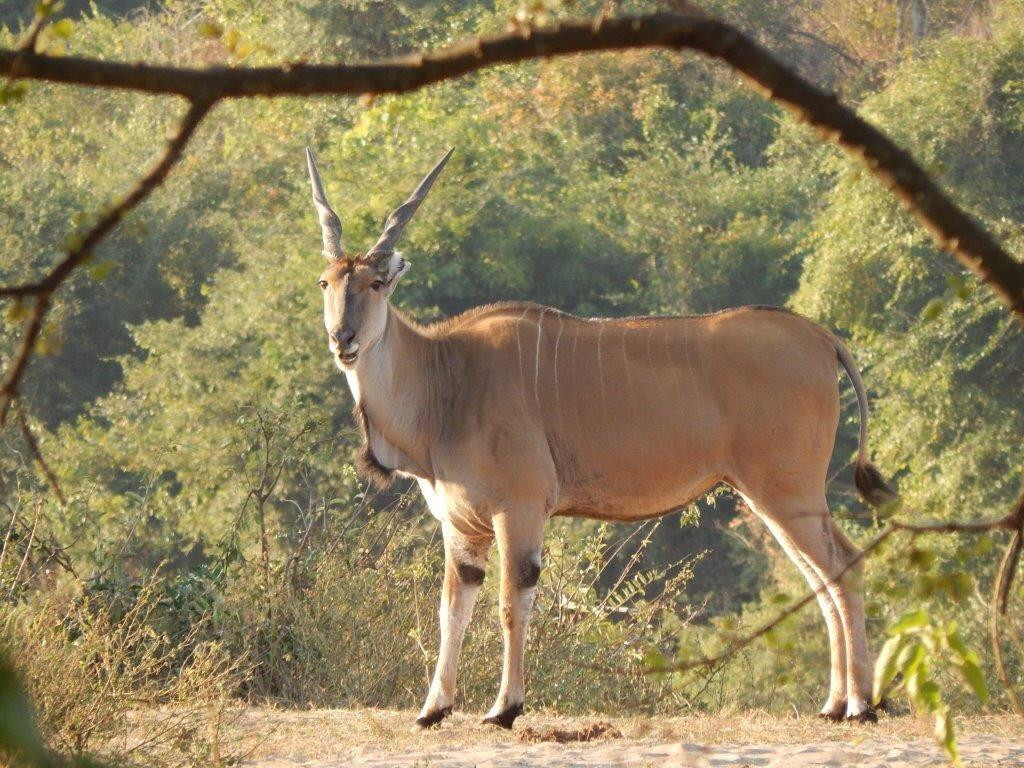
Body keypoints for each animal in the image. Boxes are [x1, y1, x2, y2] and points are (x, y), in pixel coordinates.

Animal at [303, 147, 897, 729]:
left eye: (376, 283)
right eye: (327, 283)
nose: (342, 338)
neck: (446, 379)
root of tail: (817, 335)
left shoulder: (519, 509)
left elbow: (510, 604)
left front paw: (504, 708)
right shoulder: (462, 524)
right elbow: (452, 609)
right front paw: (433, 708)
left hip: (788, 493)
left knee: (843, 566)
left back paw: (860, 705)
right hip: (771, 499)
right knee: (822, 579)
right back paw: (834, 703)